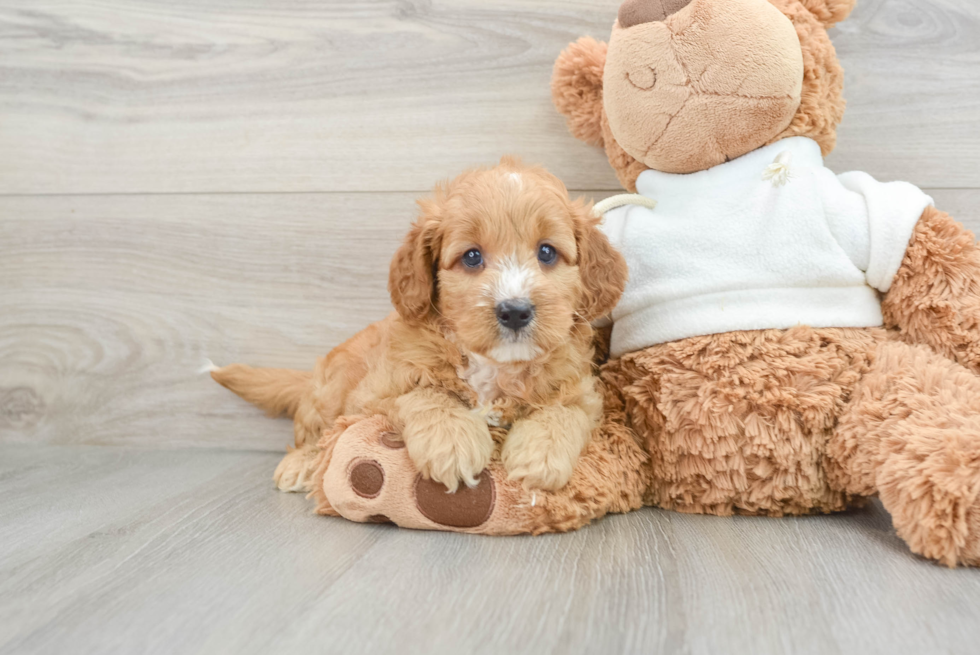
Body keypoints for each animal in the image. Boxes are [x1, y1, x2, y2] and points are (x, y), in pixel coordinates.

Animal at [213, 159, 628, 494]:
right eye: (472, 257)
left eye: (546, 252)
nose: (514, 311)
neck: (493, 366)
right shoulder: (375, 394)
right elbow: (427, 394)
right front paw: (453, 443)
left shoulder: (582, 388)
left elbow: (565, 411)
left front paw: (539, 458)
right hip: (329, 391)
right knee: (312, 430)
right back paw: (299, 463)